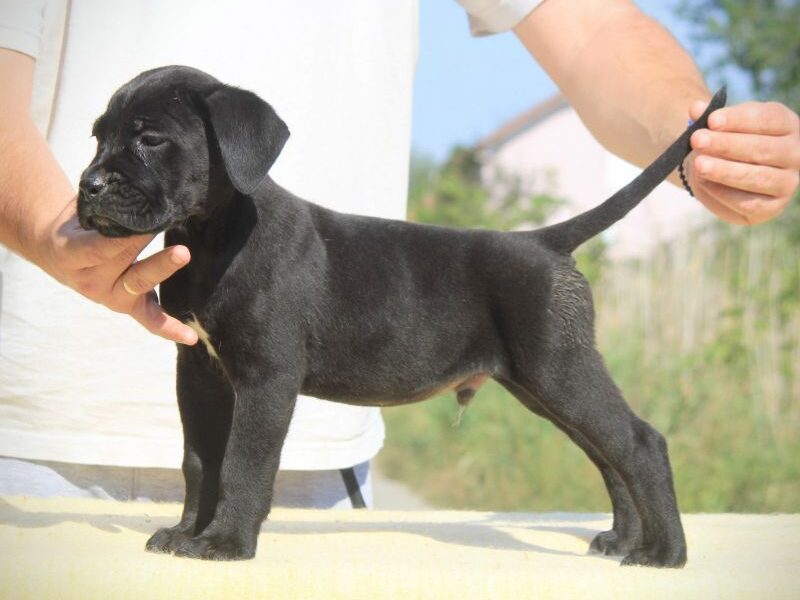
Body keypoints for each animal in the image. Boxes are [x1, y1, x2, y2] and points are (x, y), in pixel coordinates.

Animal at [79, 67, 724, 568]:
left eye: (151, 139)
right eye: (96, 137)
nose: (88, 186)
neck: (215, 238)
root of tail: (544, 242)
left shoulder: (266, 377)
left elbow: (243, 462)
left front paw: (226, 544)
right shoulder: (199, 373)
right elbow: (200, 461)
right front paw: (187, 533)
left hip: (560, 369)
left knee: (640, 443)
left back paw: (665, 553)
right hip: (544, 383)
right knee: (609, 454)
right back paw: (623, 540)